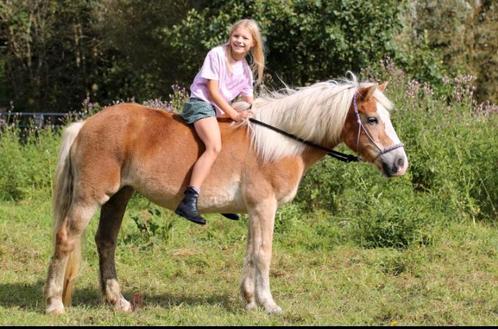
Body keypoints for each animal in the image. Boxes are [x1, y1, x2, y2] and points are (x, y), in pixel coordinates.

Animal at [43, 73, 408, 312]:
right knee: (66, 239)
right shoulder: (265, 206)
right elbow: (263, 253)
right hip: (90, 197)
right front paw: (269, 304)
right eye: (372, 119)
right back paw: (54, 304)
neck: (277, 143)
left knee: (105, 242)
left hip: (119, 196)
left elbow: (250, 253)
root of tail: (86, 125)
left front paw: (249, 300)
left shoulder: (255, 210)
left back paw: (117, 301)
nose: (400, 162)